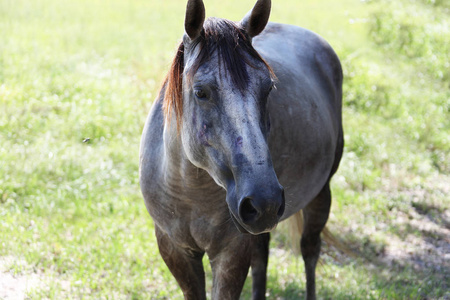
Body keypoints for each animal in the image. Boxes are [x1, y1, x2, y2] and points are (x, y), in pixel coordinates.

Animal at [139, 0, 342, 298]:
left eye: (268, 88)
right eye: (200, 92)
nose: (264, 201)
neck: (189, 192)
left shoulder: (231, 253)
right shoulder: (174, 248)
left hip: (319, 194)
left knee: (310, 251)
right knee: (262, 259)